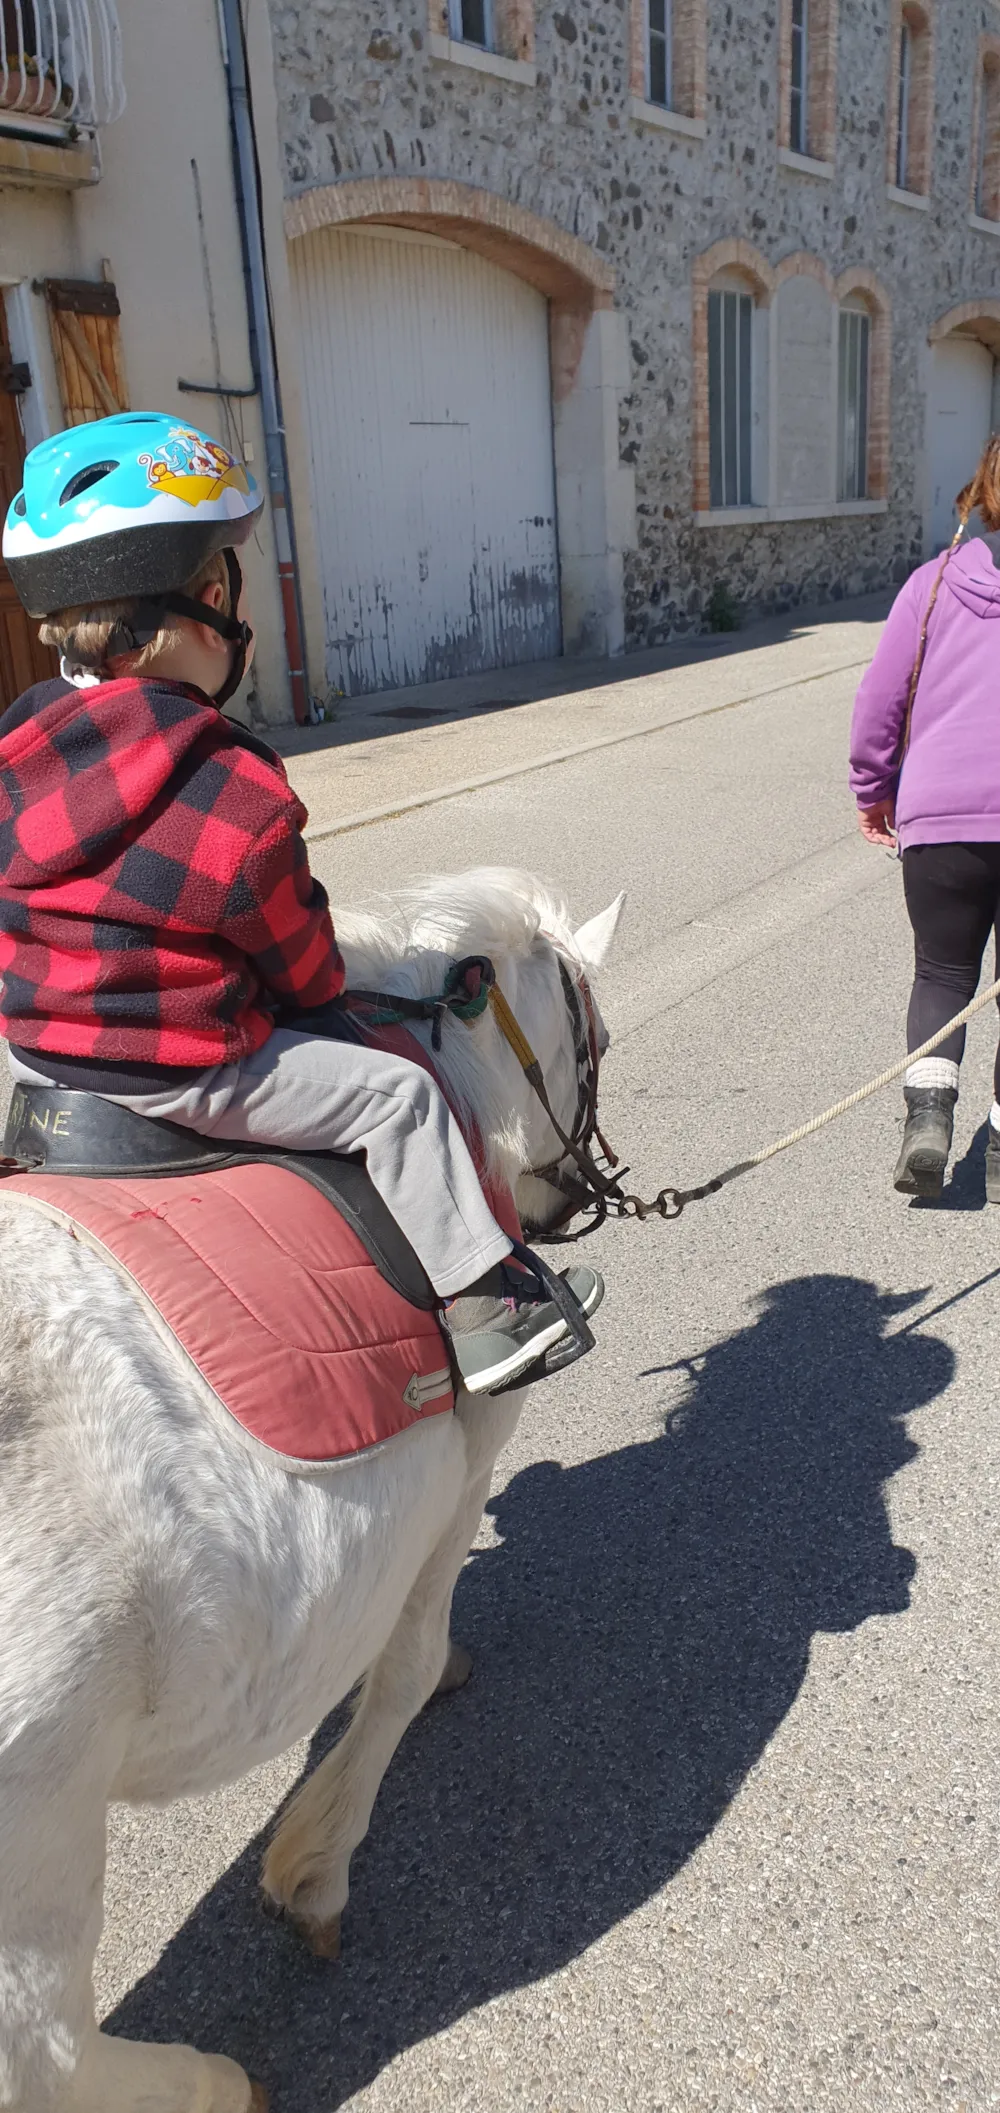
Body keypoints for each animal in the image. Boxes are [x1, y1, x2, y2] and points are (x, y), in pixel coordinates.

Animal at [0, 862, 621, 2113]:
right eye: (601, 1041)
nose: (584, 1188)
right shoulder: (468, 1458)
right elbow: (406, 1661)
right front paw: (318, 1866)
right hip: (38, 1824)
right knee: (46, 2047)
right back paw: (205, 2080)